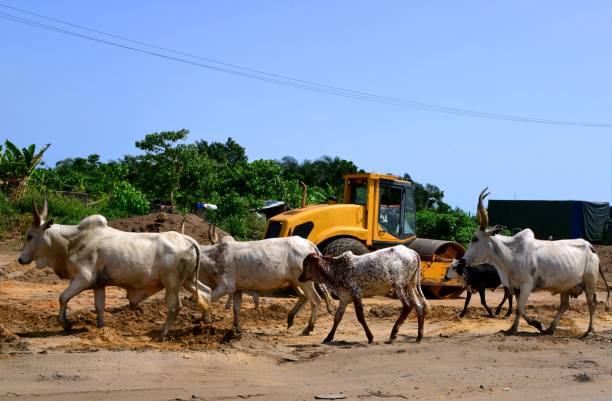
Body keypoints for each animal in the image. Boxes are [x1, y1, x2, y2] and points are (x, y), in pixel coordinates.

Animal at [18, 198, 210, 340]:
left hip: (172, 284)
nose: (20, 259)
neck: (72, 241)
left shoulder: (82, 279)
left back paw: (161, 334)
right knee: (206, 292)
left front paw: (65, 324)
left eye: (30, 236)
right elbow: (99, 307)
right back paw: (205, 323)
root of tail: (187, 239)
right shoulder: (98, 284)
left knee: (175, 307)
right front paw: (101, 328)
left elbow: (62, 298)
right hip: (187, 280)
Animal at [198, 236, 328, 332]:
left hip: (306, 282)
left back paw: (309, 327)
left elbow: (207, 298)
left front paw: (206, 320)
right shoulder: (237, 289)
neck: (214, 257)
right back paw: (290, 319)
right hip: (295, 282)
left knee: (315, 300)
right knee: (303, 297)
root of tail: (309, 244)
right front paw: (236, 327)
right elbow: (236, 309)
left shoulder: (226, 286)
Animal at [448, 189, 608, 336]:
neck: (510, 254)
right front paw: (529, 326)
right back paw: (550, 329)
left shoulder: (527, 285)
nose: (462, 260)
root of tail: (590, 246)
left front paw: (519, 328)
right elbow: (519, 308)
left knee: (592, 304)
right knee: (564, 306)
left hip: (590, 282)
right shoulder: (515, 287)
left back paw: (589, 331)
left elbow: (519, 308)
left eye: (475, 239)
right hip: (566, 286)